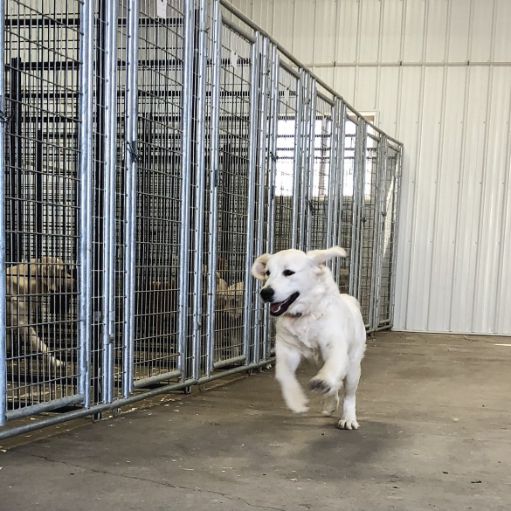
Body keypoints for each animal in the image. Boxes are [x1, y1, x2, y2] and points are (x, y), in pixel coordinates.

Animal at [251, 246, 364, 430]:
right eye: (268, 272)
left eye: (288, 272)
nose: (265, 292)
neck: (304, 315)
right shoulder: (287, 350)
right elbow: (284, 376)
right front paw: (296, 401)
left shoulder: (336, 347)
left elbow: (332, 368)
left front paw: (322, 381)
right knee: (335, 387)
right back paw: (329, 403)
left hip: (353, 366)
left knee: (349, 394)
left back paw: (348, 418)